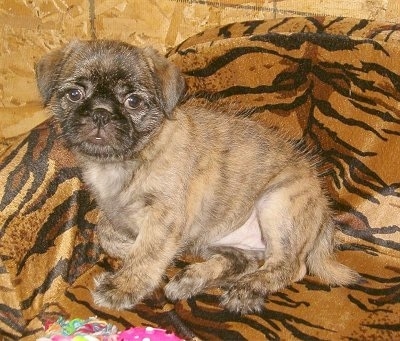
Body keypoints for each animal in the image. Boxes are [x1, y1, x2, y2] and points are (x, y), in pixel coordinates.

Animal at [36, 38, 360, 312]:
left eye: (133, 102)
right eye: (75, 94)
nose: (100, 113)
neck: (130, 158)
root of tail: (323, 208)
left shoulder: (164, 215)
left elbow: (148, 251)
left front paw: (123, 285)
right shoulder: (114, 211)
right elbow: (105, 232)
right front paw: (129, 248)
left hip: (277, 203)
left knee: (289, 266)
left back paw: (245, 290)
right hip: (224, 239)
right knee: (242, 261)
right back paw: (192, 279)